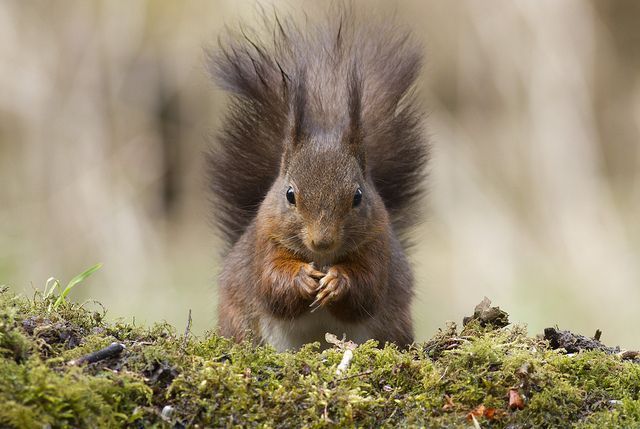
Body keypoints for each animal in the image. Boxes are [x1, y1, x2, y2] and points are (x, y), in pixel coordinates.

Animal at [209, 10, 430, 352]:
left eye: (357, 197)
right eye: (289, 194)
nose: (322, 241)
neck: (322, 259)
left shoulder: (377, 243)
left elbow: (367, 289)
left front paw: (338, 282)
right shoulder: (264, 241)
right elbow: (271, 284)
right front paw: (301, 279)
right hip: (238, 320)